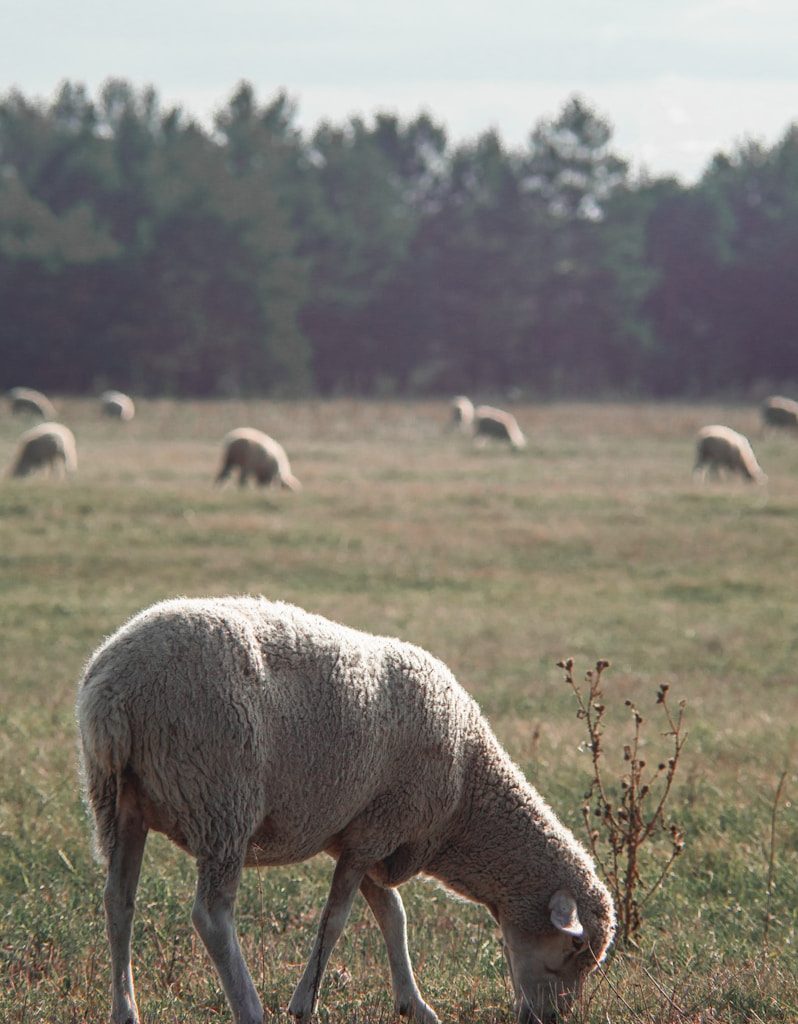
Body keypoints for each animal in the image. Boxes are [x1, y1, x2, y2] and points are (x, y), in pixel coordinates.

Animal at [77, 596, 616, 1024]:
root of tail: (115, 691)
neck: (465, 793)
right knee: (211, 915)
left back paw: (125, 1010)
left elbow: (392, 915)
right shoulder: (377, 831)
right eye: (574, 947)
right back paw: (249, 1008)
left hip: (118, 801)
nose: (549, 1018)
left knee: (118, 901)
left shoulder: (369, 833)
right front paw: (304, 1004)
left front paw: (414, 1005)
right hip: (221, 800)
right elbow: (336, 920)